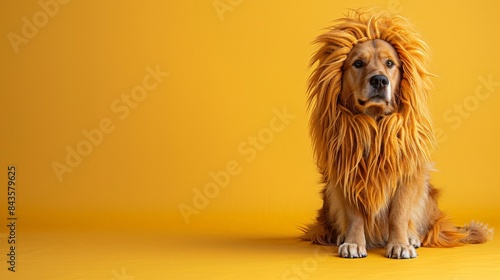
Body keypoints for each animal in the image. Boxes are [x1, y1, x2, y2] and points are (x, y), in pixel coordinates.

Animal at [300, 8, 492, 258]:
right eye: (358, 63)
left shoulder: (406, 172)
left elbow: (399, 214)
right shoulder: (348, 171)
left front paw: (400, 244)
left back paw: (412, 237)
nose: (379, 80)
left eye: (390, 63)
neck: (375, 123)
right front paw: (353, 242)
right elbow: (354, 215)